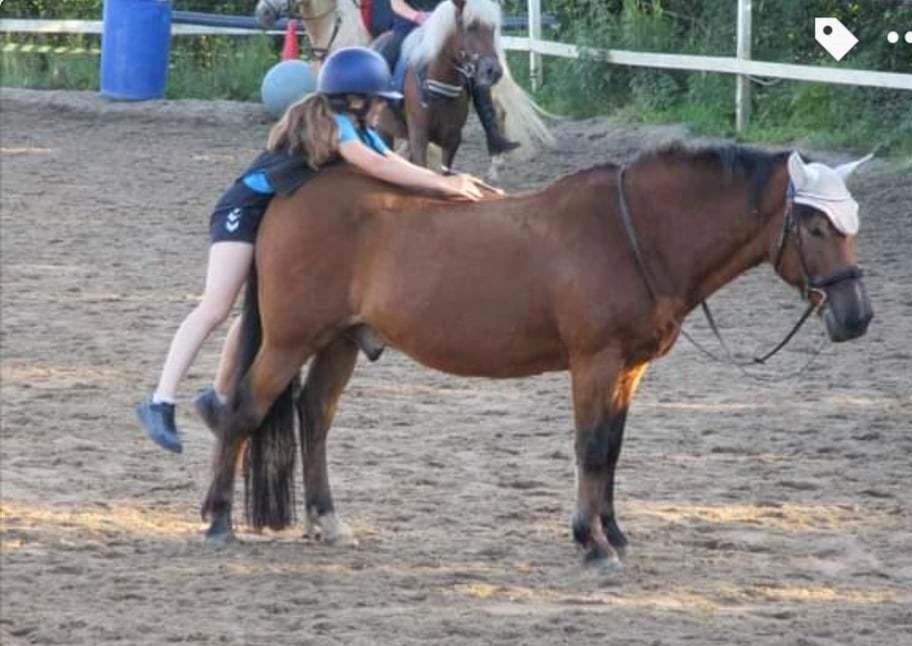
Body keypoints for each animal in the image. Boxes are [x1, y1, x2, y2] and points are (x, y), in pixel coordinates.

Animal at [203, 144, 872, 568]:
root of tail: (292, 193)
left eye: (853, 224)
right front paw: (591, 544)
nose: (857, 315)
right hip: (290, 340)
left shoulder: (629, 369)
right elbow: (591, 449)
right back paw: (217, 521)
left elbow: (612, 451)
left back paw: (327, 521)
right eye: (815, 227)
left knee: (315, 417)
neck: (633, 233)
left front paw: (614, 534)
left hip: (341, 340)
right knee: (243, 413)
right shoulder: (594, 362)